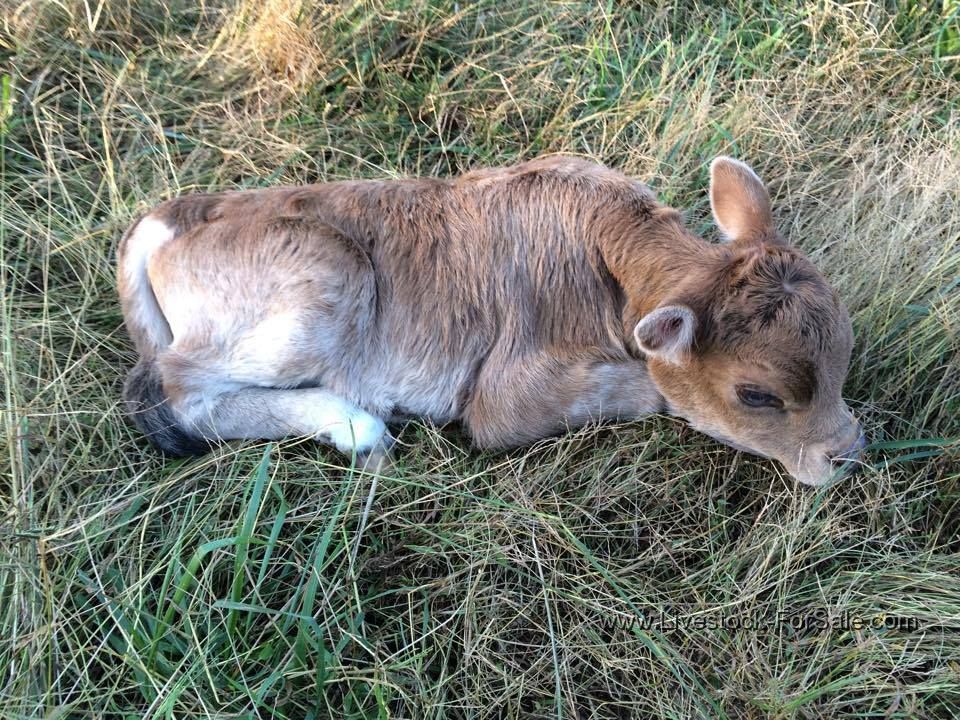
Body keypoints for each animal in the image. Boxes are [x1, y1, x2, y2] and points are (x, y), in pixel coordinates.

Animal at [117, 155, 865, 486]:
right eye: (757, 395)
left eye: (844, 353)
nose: (849, 451)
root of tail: (176, 213)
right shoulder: (505, 402)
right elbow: (652, 391)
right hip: (326, 278)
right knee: (173, 391)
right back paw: (356, 426)